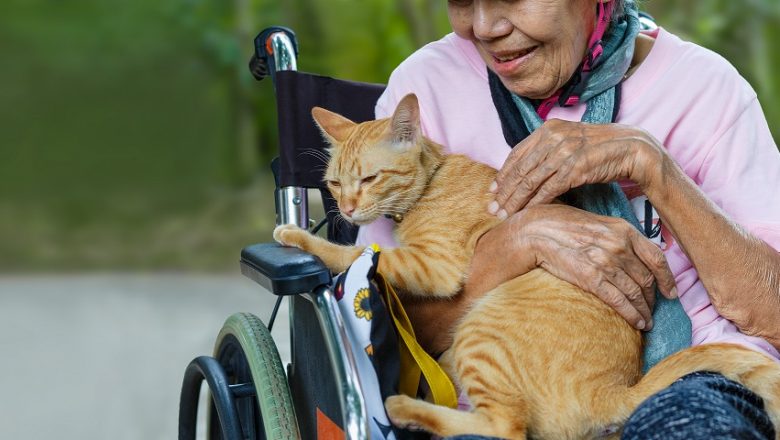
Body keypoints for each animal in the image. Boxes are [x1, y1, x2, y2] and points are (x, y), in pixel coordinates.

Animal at [274, 94, 780, 438]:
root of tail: (616, 389)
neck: (433, 180)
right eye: (334, 184)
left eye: (369, 178)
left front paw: (297, 238)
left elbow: (356, 255)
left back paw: (403, 409)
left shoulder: (433, 264)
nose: (346, 208)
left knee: (505, 426)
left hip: (480, 334)